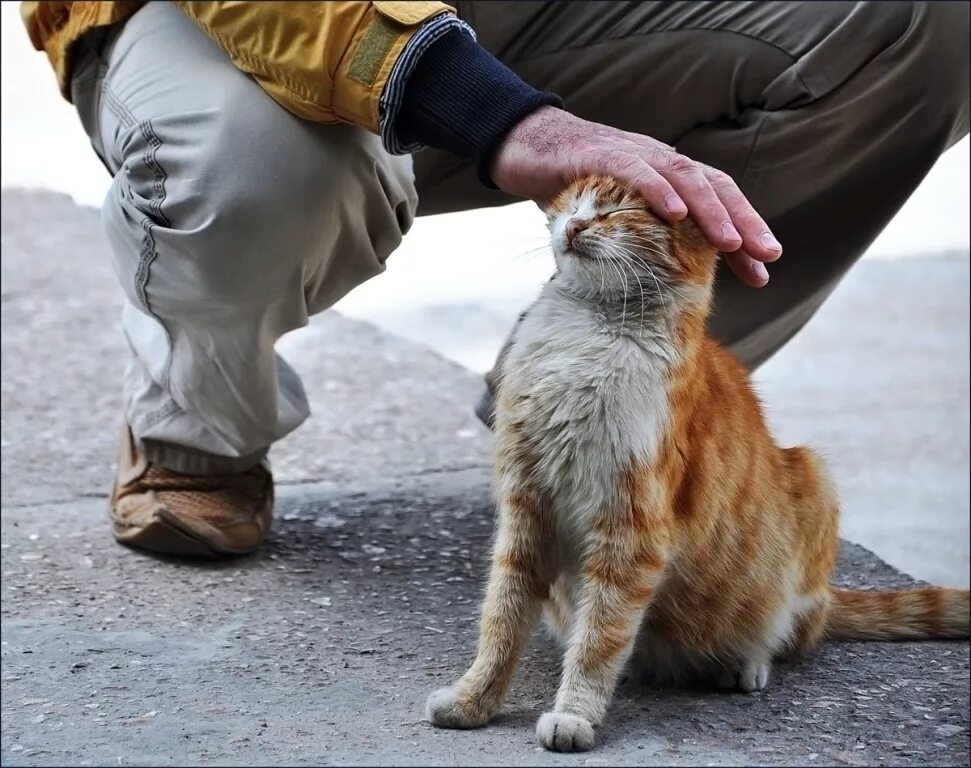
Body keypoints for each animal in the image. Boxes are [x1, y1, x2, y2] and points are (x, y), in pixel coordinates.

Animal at [426, 172, 971, 752]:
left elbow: (600, 638)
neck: (585, 335)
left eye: (622, 211)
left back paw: (745, 662)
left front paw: (573, 714)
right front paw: (474, 699)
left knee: (794, 626)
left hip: (812, 481)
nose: (575, 225)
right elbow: (502, 619)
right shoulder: (527, 511)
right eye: (576, 201)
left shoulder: (631, 531)